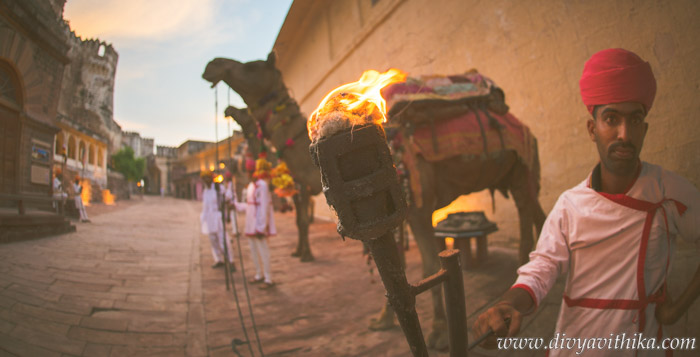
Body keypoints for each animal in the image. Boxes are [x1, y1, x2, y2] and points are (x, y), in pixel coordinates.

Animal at [202, 52, 548, 348]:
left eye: (252, 66)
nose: (213, 65)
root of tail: (526, 128)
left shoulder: (419, 207)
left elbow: (427, 263)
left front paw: (437, 332)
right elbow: (395, 267)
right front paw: (383, 320)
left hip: (522, 165)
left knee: (531, 211)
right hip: (513, 172)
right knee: (534, 213)